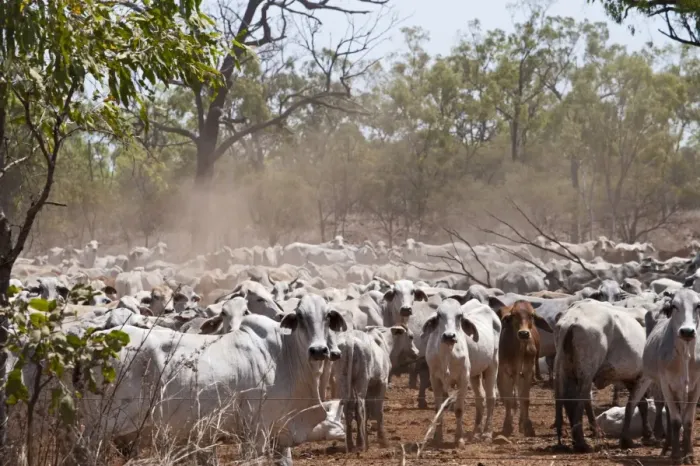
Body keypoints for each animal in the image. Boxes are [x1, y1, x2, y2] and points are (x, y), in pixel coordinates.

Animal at [421, 298, 501, 444]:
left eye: (459, 316)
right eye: (439, 315)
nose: (449, 336)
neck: (447, 354)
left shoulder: (463, 379)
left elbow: (458, 409)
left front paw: (459, 438)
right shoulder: (434, 379)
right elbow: (438, 408)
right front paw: (437, 438)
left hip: (493, 364)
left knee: (490, 397)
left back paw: (487, 433)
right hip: (475, 374)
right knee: (480, 398)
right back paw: (476, 433)